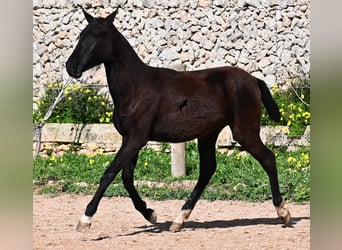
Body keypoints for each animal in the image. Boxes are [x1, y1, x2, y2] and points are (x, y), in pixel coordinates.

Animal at [65, 7, 290, 232]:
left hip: (244, 132)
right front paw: (150, 214)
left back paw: (283, 213)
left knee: (268, 158)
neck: (135, 87)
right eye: (81, 35)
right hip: (208, 134)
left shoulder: (136, 139)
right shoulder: (129, 139)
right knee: (207, 170)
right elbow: (127, 178)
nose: (71, 67)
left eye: (99, 34)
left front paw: (85, 219)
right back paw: (179, 218)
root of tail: (253, 80)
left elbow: (109, 174)